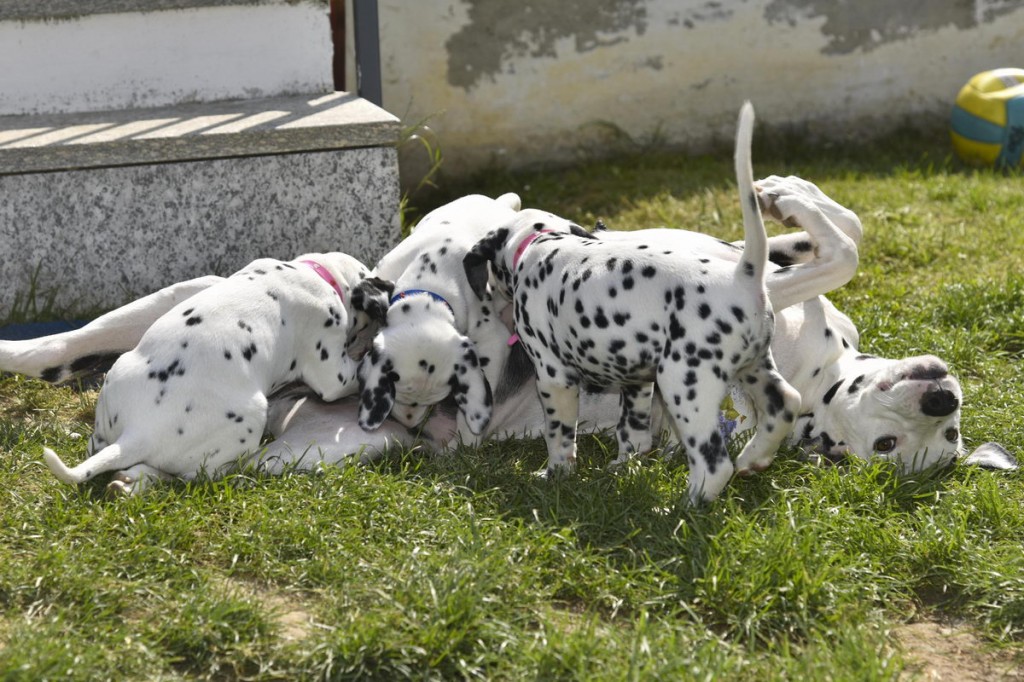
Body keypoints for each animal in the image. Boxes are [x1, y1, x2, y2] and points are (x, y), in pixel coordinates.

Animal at [33, 251, 391, 491]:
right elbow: (351, 372)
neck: (313, 273)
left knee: (99, 446)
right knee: (202, 475)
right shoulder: (332, 371)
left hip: (115, 386)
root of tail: (137, 433)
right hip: (248, 421)